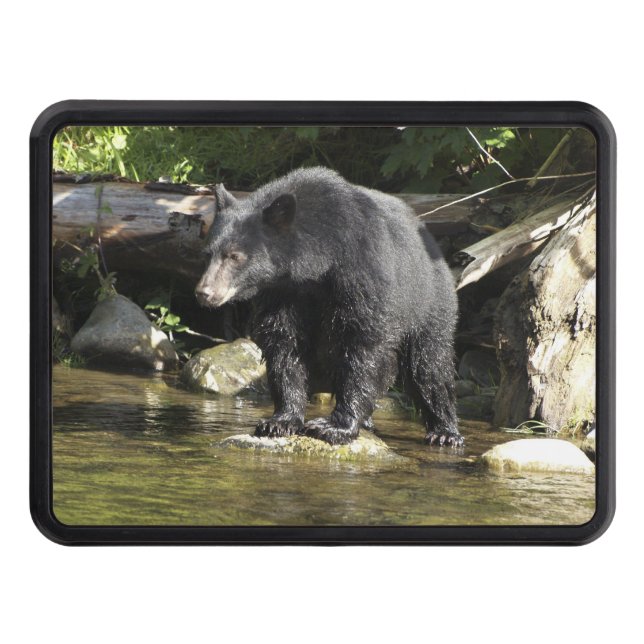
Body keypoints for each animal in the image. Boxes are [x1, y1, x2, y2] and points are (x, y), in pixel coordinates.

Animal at [195, 167, 462, 447]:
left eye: (235, 256)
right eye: (207, 254)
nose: (205, 293)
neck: (319, 262)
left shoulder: (362, 272)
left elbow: (362, 344)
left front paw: (334, 426)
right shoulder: (284, 292)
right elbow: (284, 344)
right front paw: (280, 421)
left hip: (427, 301)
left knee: (429, 364)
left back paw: (445, 431)